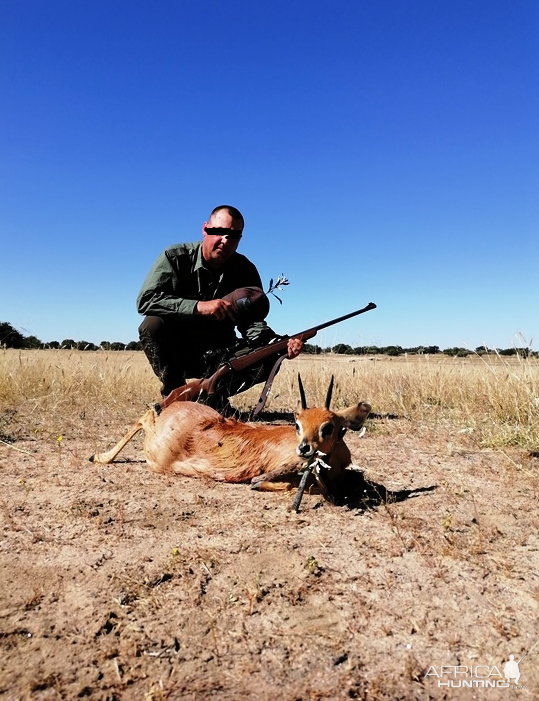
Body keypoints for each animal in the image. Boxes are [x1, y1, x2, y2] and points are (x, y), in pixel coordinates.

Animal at [92, 374, 372, 494]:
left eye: (328, 427)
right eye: (297, 424)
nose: (304, 448)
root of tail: (174, 407)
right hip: (156, 453)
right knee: (145, 416)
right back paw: (99, 457)